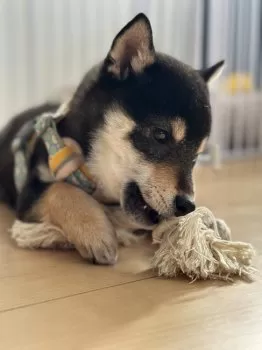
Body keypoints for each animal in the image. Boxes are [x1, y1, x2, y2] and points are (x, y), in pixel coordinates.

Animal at [0, 13, 225, 266]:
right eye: (160, 134)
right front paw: (95, 231)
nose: (187, 205)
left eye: (196, 156)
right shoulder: (30, 193)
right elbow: (61, 189)